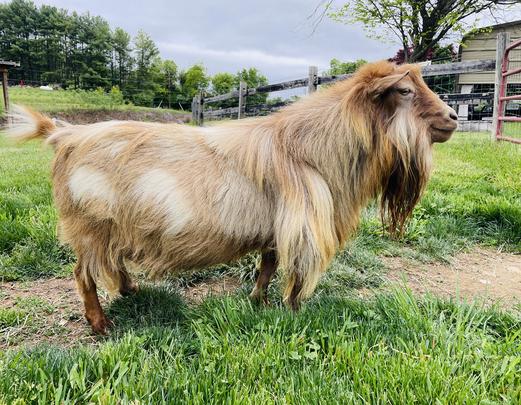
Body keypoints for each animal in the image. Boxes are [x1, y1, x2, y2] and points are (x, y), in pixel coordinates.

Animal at [7, 60, 456, 332]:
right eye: (404, 91)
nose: (452, 117)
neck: (313, 148)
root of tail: (65, 134)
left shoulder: (278, 227)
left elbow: (268, 264)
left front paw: (258, 300)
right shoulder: (303, 228)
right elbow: (294, 275)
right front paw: (294, 311)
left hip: (109, 228)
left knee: (111, 264)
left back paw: (131, 291)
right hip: (89, 226)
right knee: (83, 275)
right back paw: (101, 326)